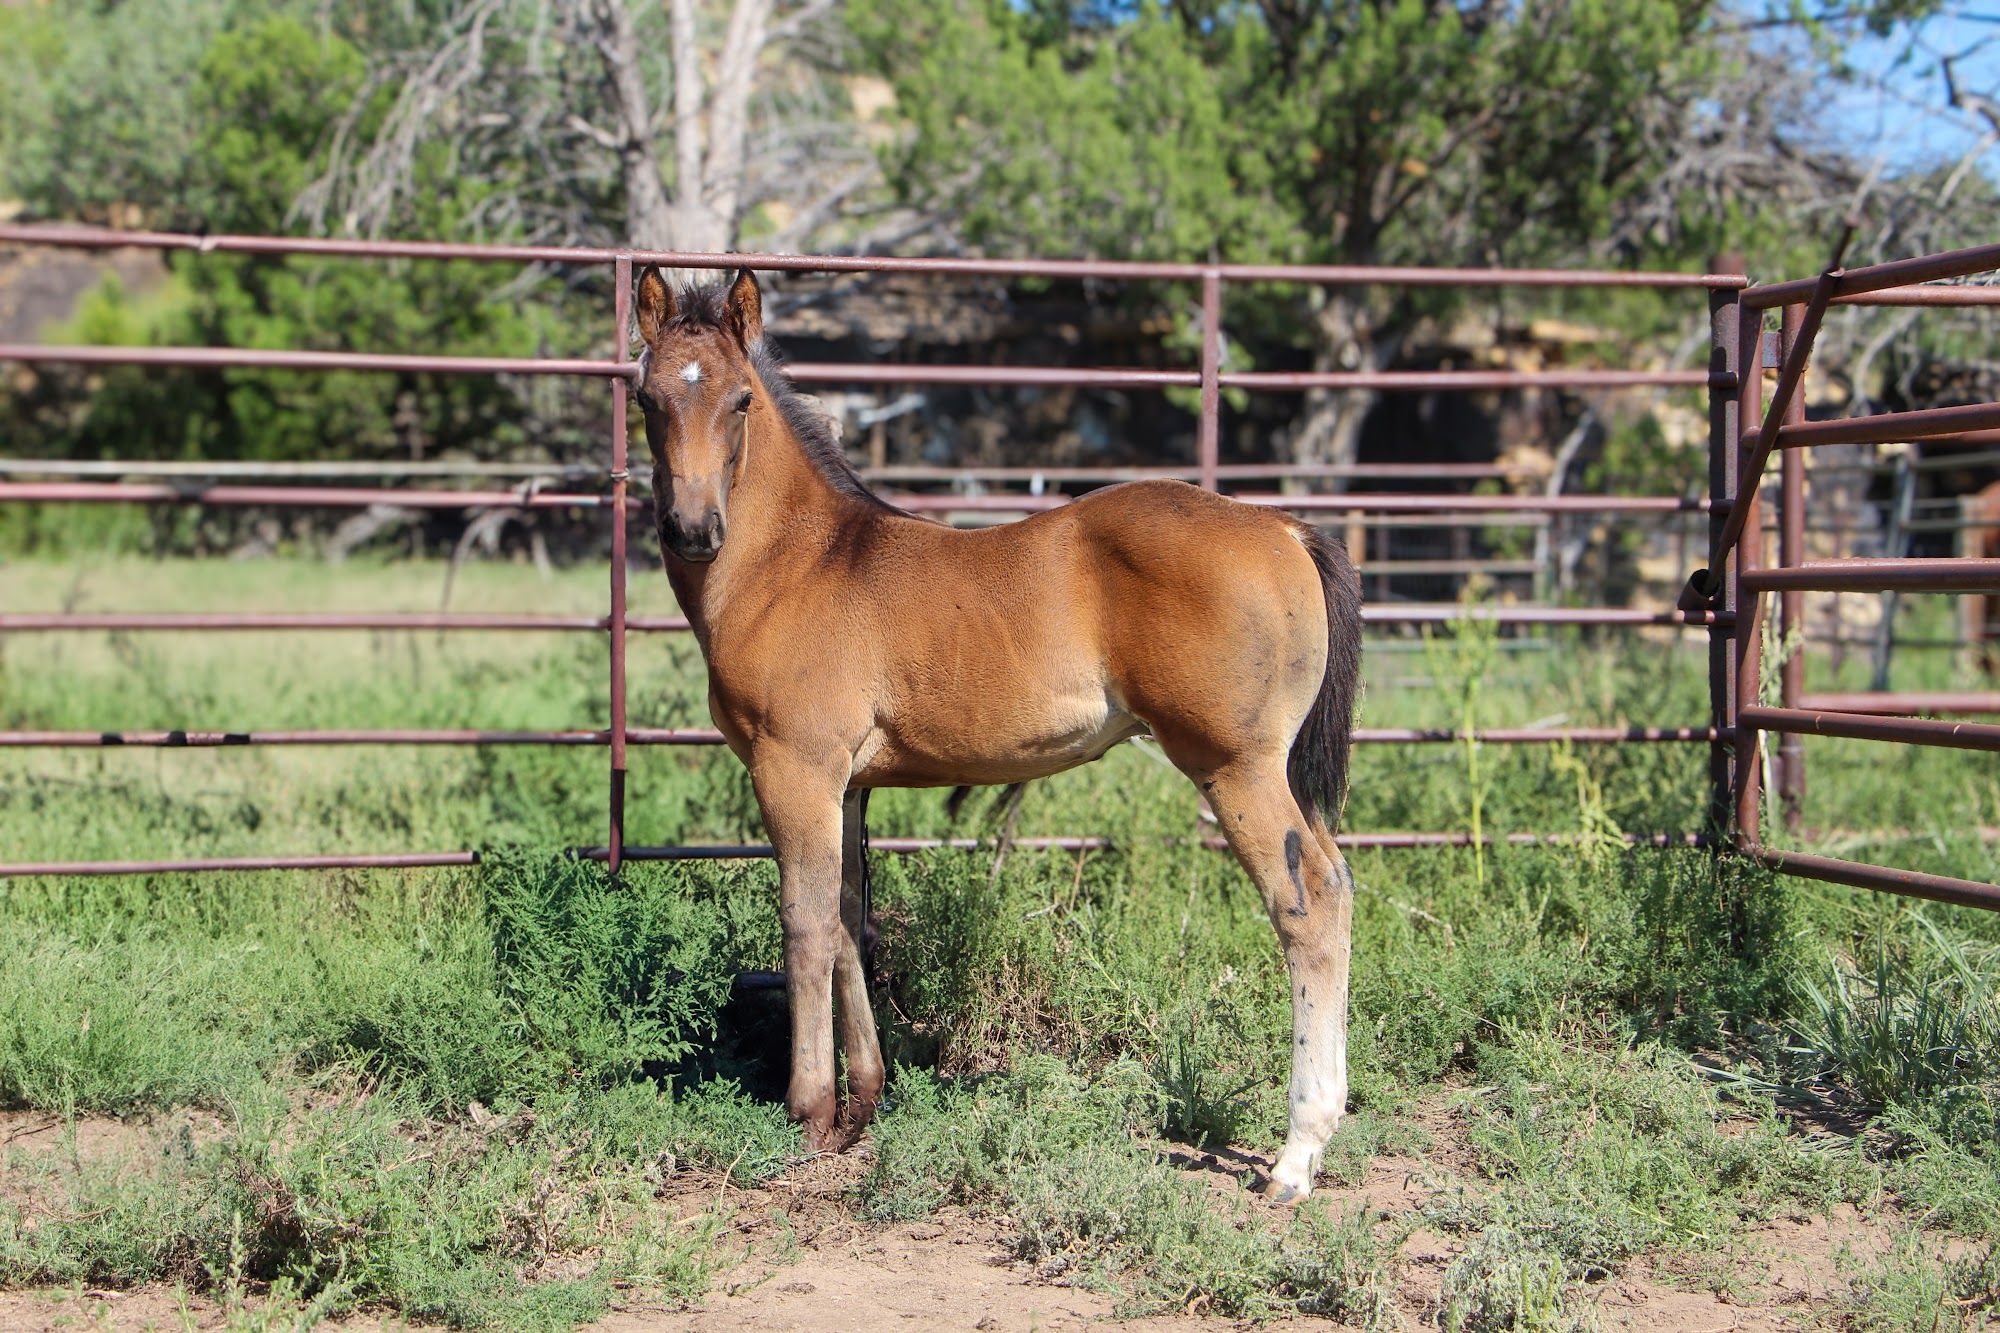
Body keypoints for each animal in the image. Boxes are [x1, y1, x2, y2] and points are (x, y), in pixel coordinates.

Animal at [629, 266, 1363, 1201]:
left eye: (740, 401)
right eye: (648, 396)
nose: (693, 530)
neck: (798, 562)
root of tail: (1283, 527)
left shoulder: (795, 769)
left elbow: (804, 921)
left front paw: (808, 1113)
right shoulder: (851, 785)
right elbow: (850, 920)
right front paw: (863, 1105)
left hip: (1237, 766)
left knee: (1310, 904)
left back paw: (1297, 1152)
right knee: (1337, 883)